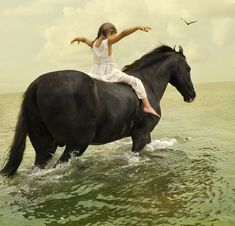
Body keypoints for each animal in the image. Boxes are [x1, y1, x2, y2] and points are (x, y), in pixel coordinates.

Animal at [0, 45, 196, 177]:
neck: (147, 85)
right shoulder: (140, 135)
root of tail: (37, 84)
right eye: (188, 68)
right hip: (76, 144)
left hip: (44, 147)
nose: (192, 95)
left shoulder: (145, 135)